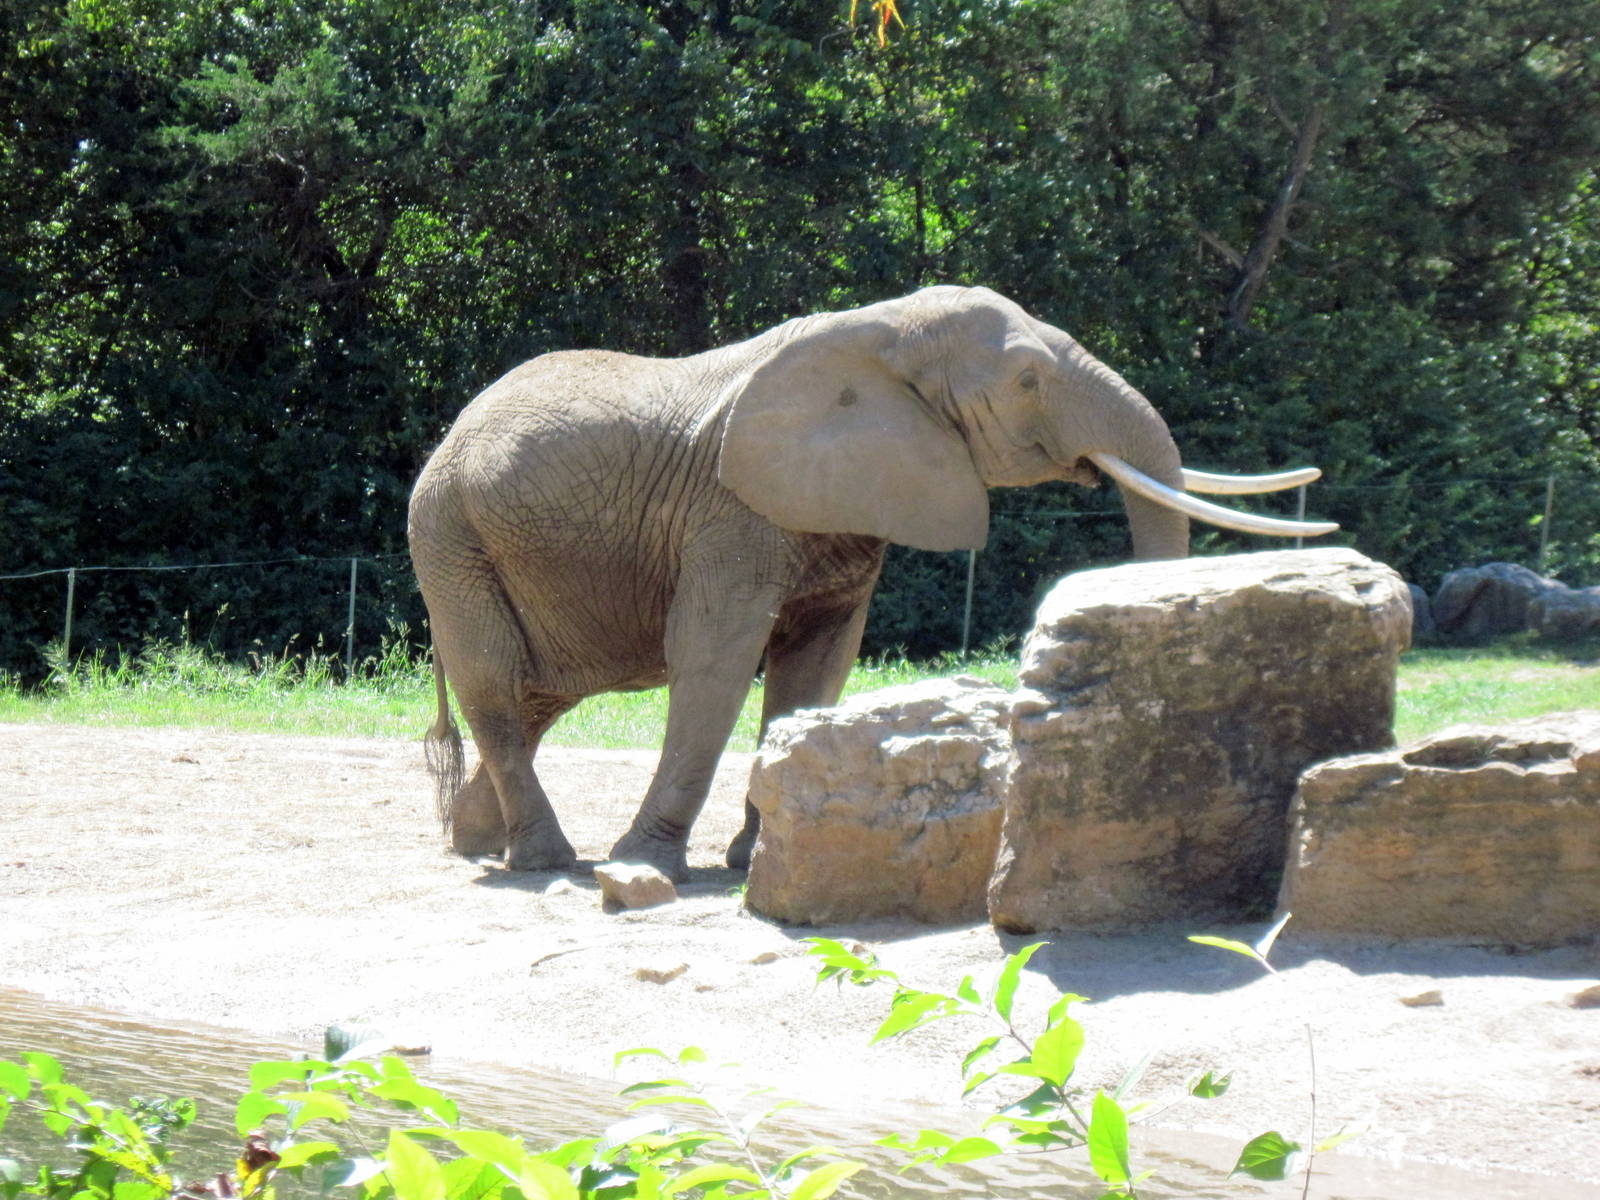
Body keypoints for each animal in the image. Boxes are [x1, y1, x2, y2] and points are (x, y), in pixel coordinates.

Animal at [407, 285, 1335, 881]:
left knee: (533, 700)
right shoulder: (732, 511)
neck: (882, 329)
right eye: (1027, 380)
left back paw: (475, 845)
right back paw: (543, 862)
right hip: (450, 539)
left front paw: (755, 857)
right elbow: (714, 655)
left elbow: (817, 666)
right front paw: (649, 863)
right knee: (499, 691)